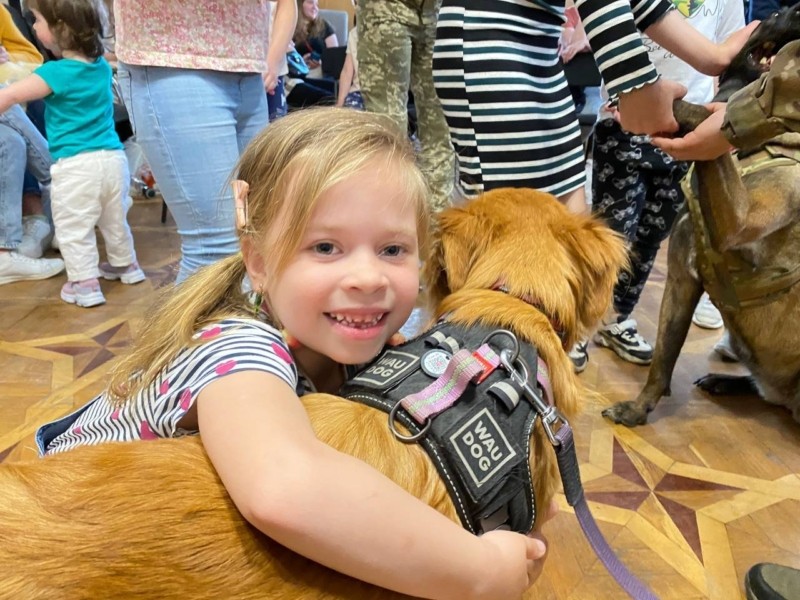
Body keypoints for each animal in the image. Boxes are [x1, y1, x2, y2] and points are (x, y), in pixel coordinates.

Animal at [604, 5, 800, 426]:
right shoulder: (682, 278)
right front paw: (639, 408)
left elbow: (700, 113)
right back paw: (727, 381)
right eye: (776, 12)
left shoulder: (739, 218)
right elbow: (664, 358)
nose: (794, 8)